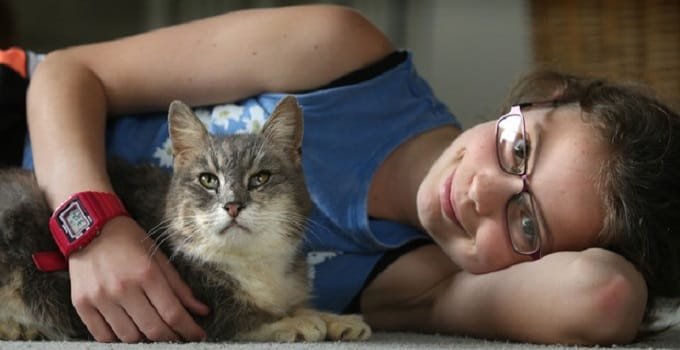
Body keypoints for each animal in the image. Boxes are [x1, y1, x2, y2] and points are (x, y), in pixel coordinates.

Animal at [0, 95, 372, 342]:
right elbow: (243, 319)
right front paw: (297, 321)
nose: (233, 205)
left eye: (260, 178)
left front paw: (335, 318)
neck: (251, 263)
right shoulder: (193, 314)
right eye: (208, 180)